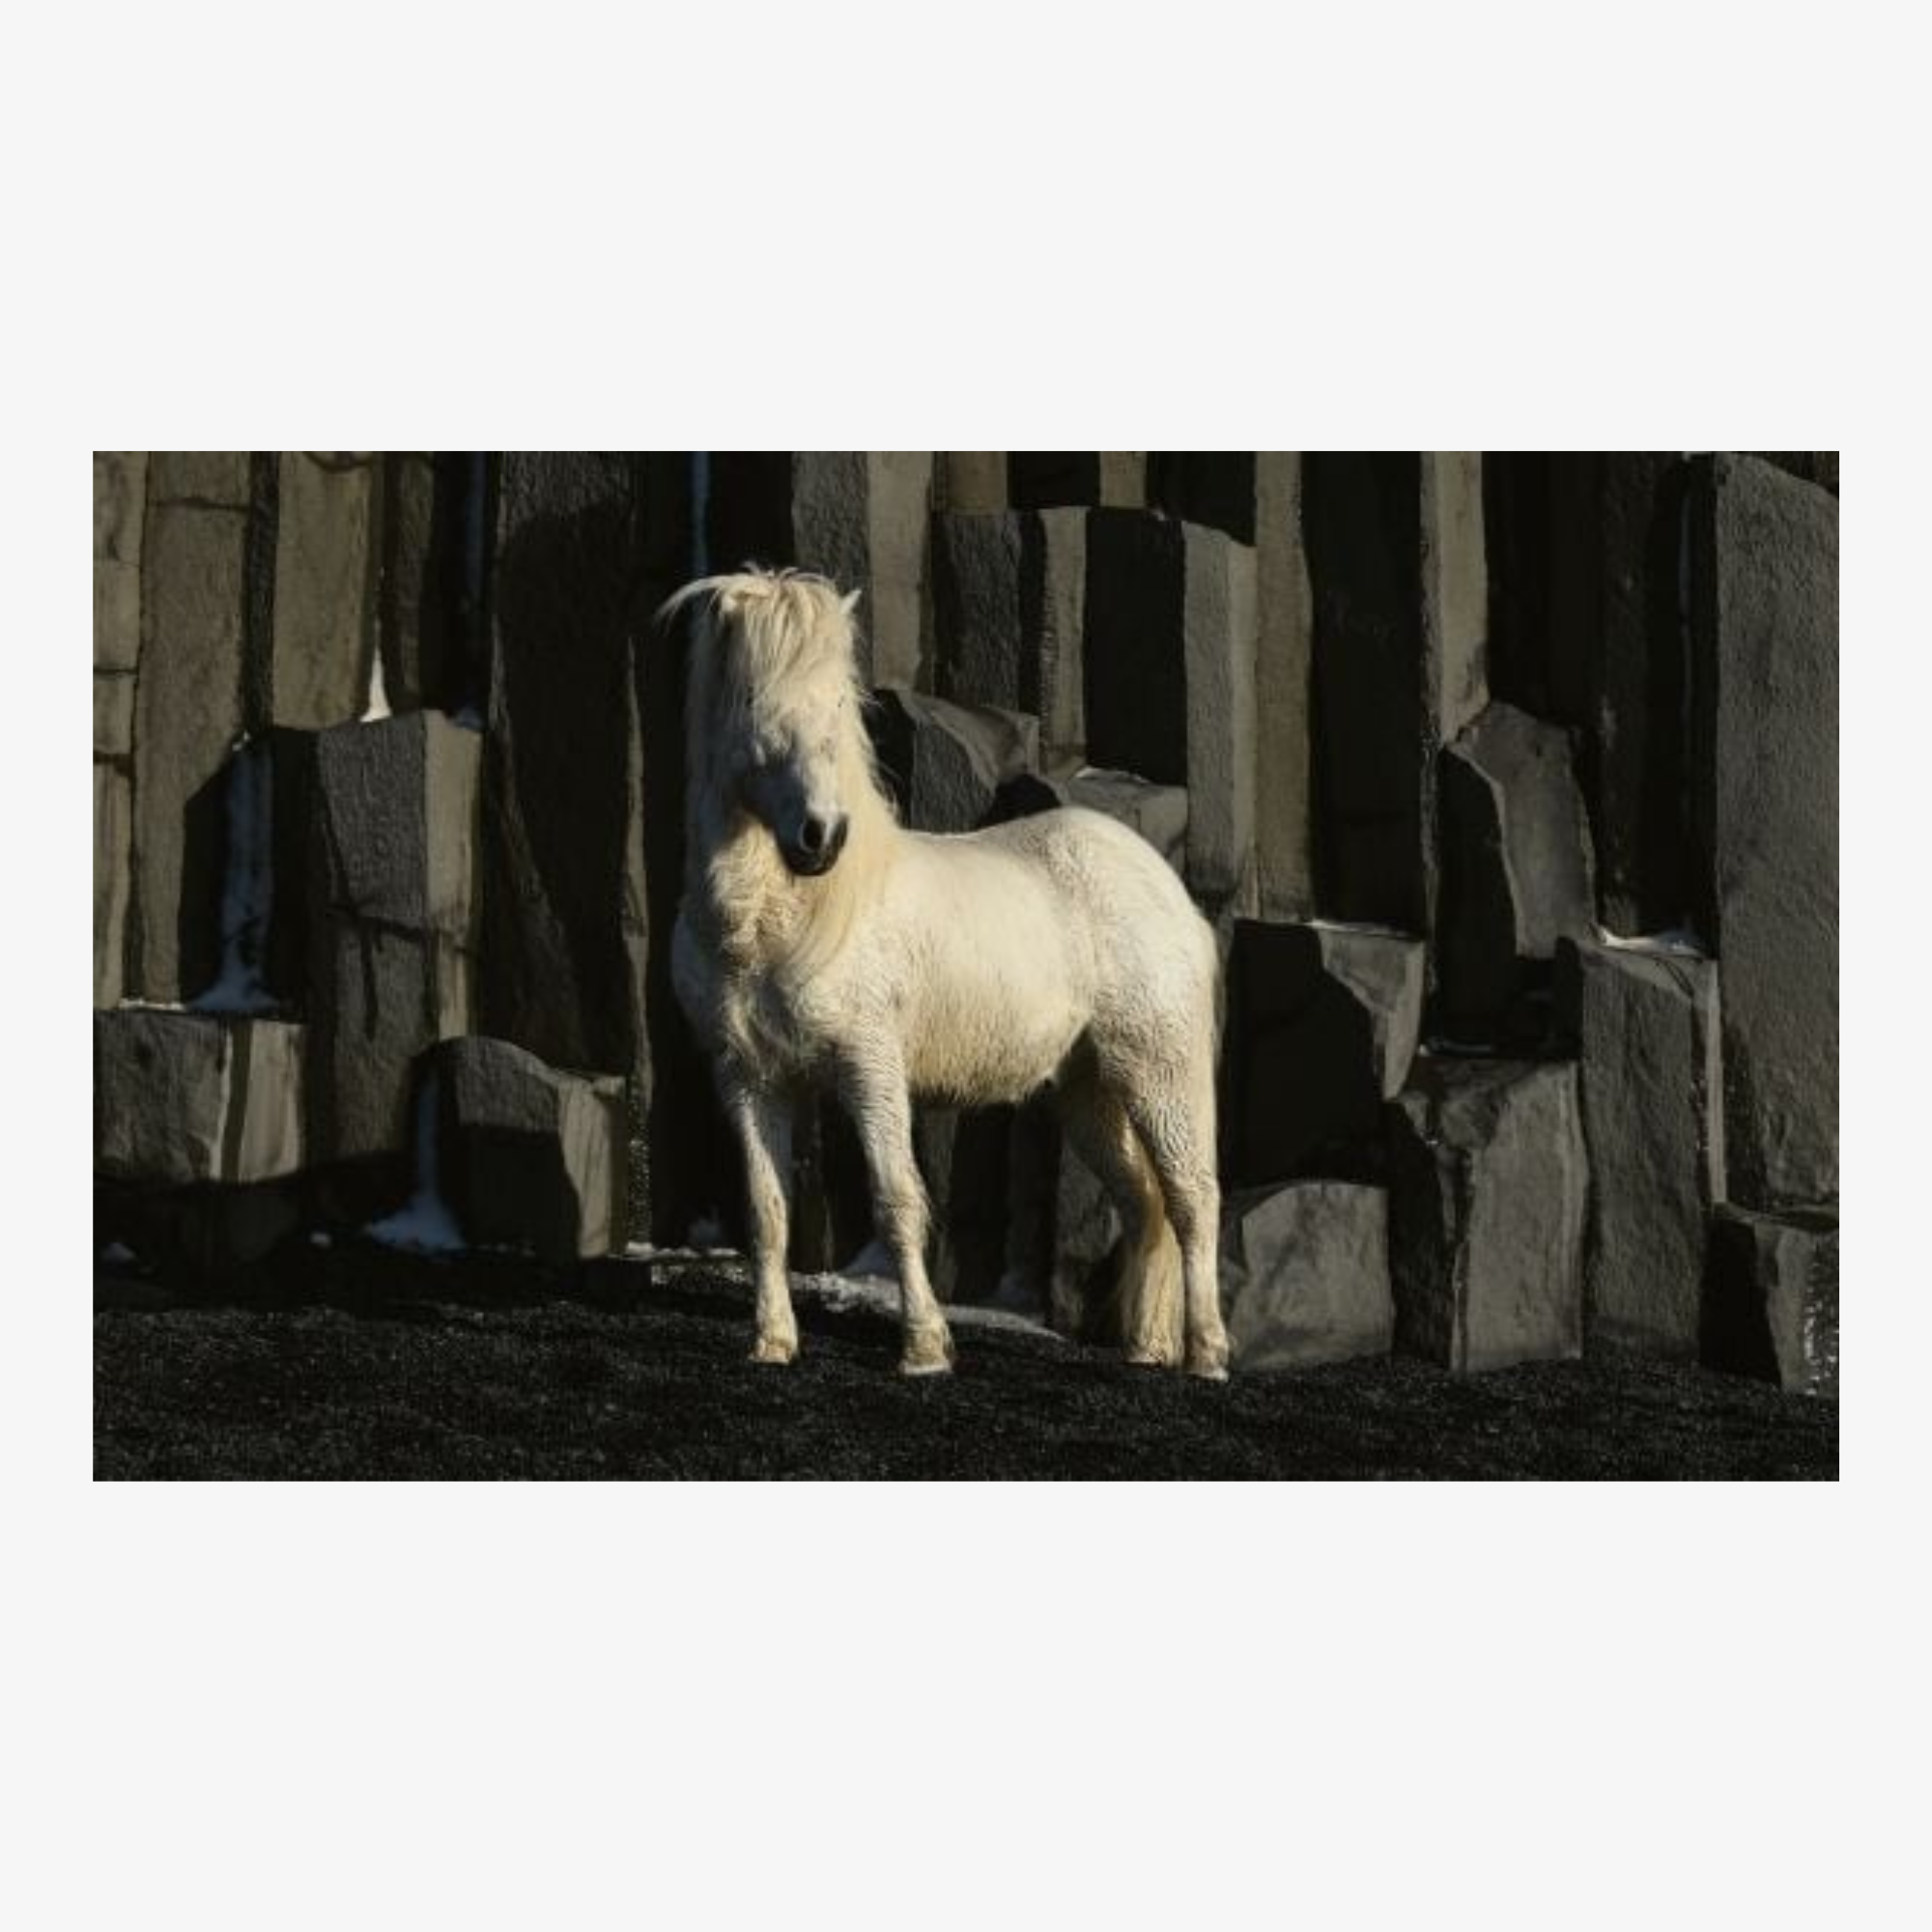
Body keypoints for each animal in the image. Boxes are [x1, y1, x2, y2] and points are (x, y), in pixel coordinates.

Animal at [665, 567, 1231, 1380]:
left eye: (837, 705)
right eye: (753, 704)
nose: (820, 836)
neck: (787, 924)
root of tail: (1165, 887)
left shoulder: (870, 1067)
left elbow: (898, 1200)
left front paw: (925, 1348)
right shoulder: (748, 1078)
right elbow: (767, 1214)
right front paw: (772, 1343)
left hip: (1160, 1070)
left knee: (1192, 1199)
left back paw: (1207, 1355)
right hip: (1089, 1091)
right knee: (1142, 1202)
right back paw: (1147, 1352)